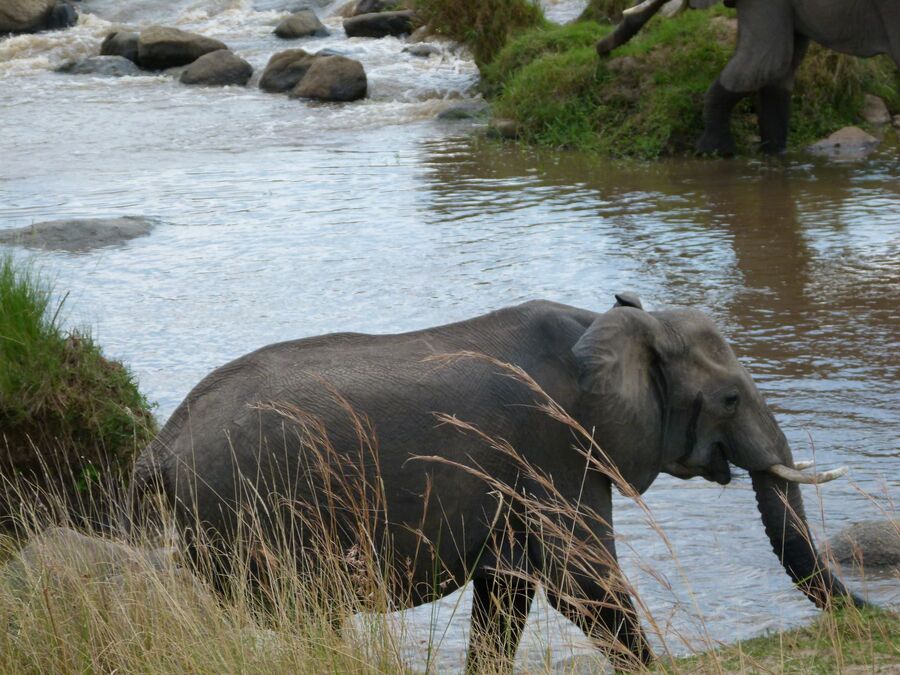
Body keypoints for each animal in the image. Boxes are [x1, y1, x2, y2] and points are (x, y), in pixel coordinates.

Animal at [131, 295, 860, 671]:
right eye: (731, 398)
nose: (870, 615)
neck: (607, 322)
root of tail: (159, 446)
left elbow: (510, 591)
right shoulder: (554, 447)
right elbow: (582, 580)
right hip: (250, 510)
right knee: (300, 614)